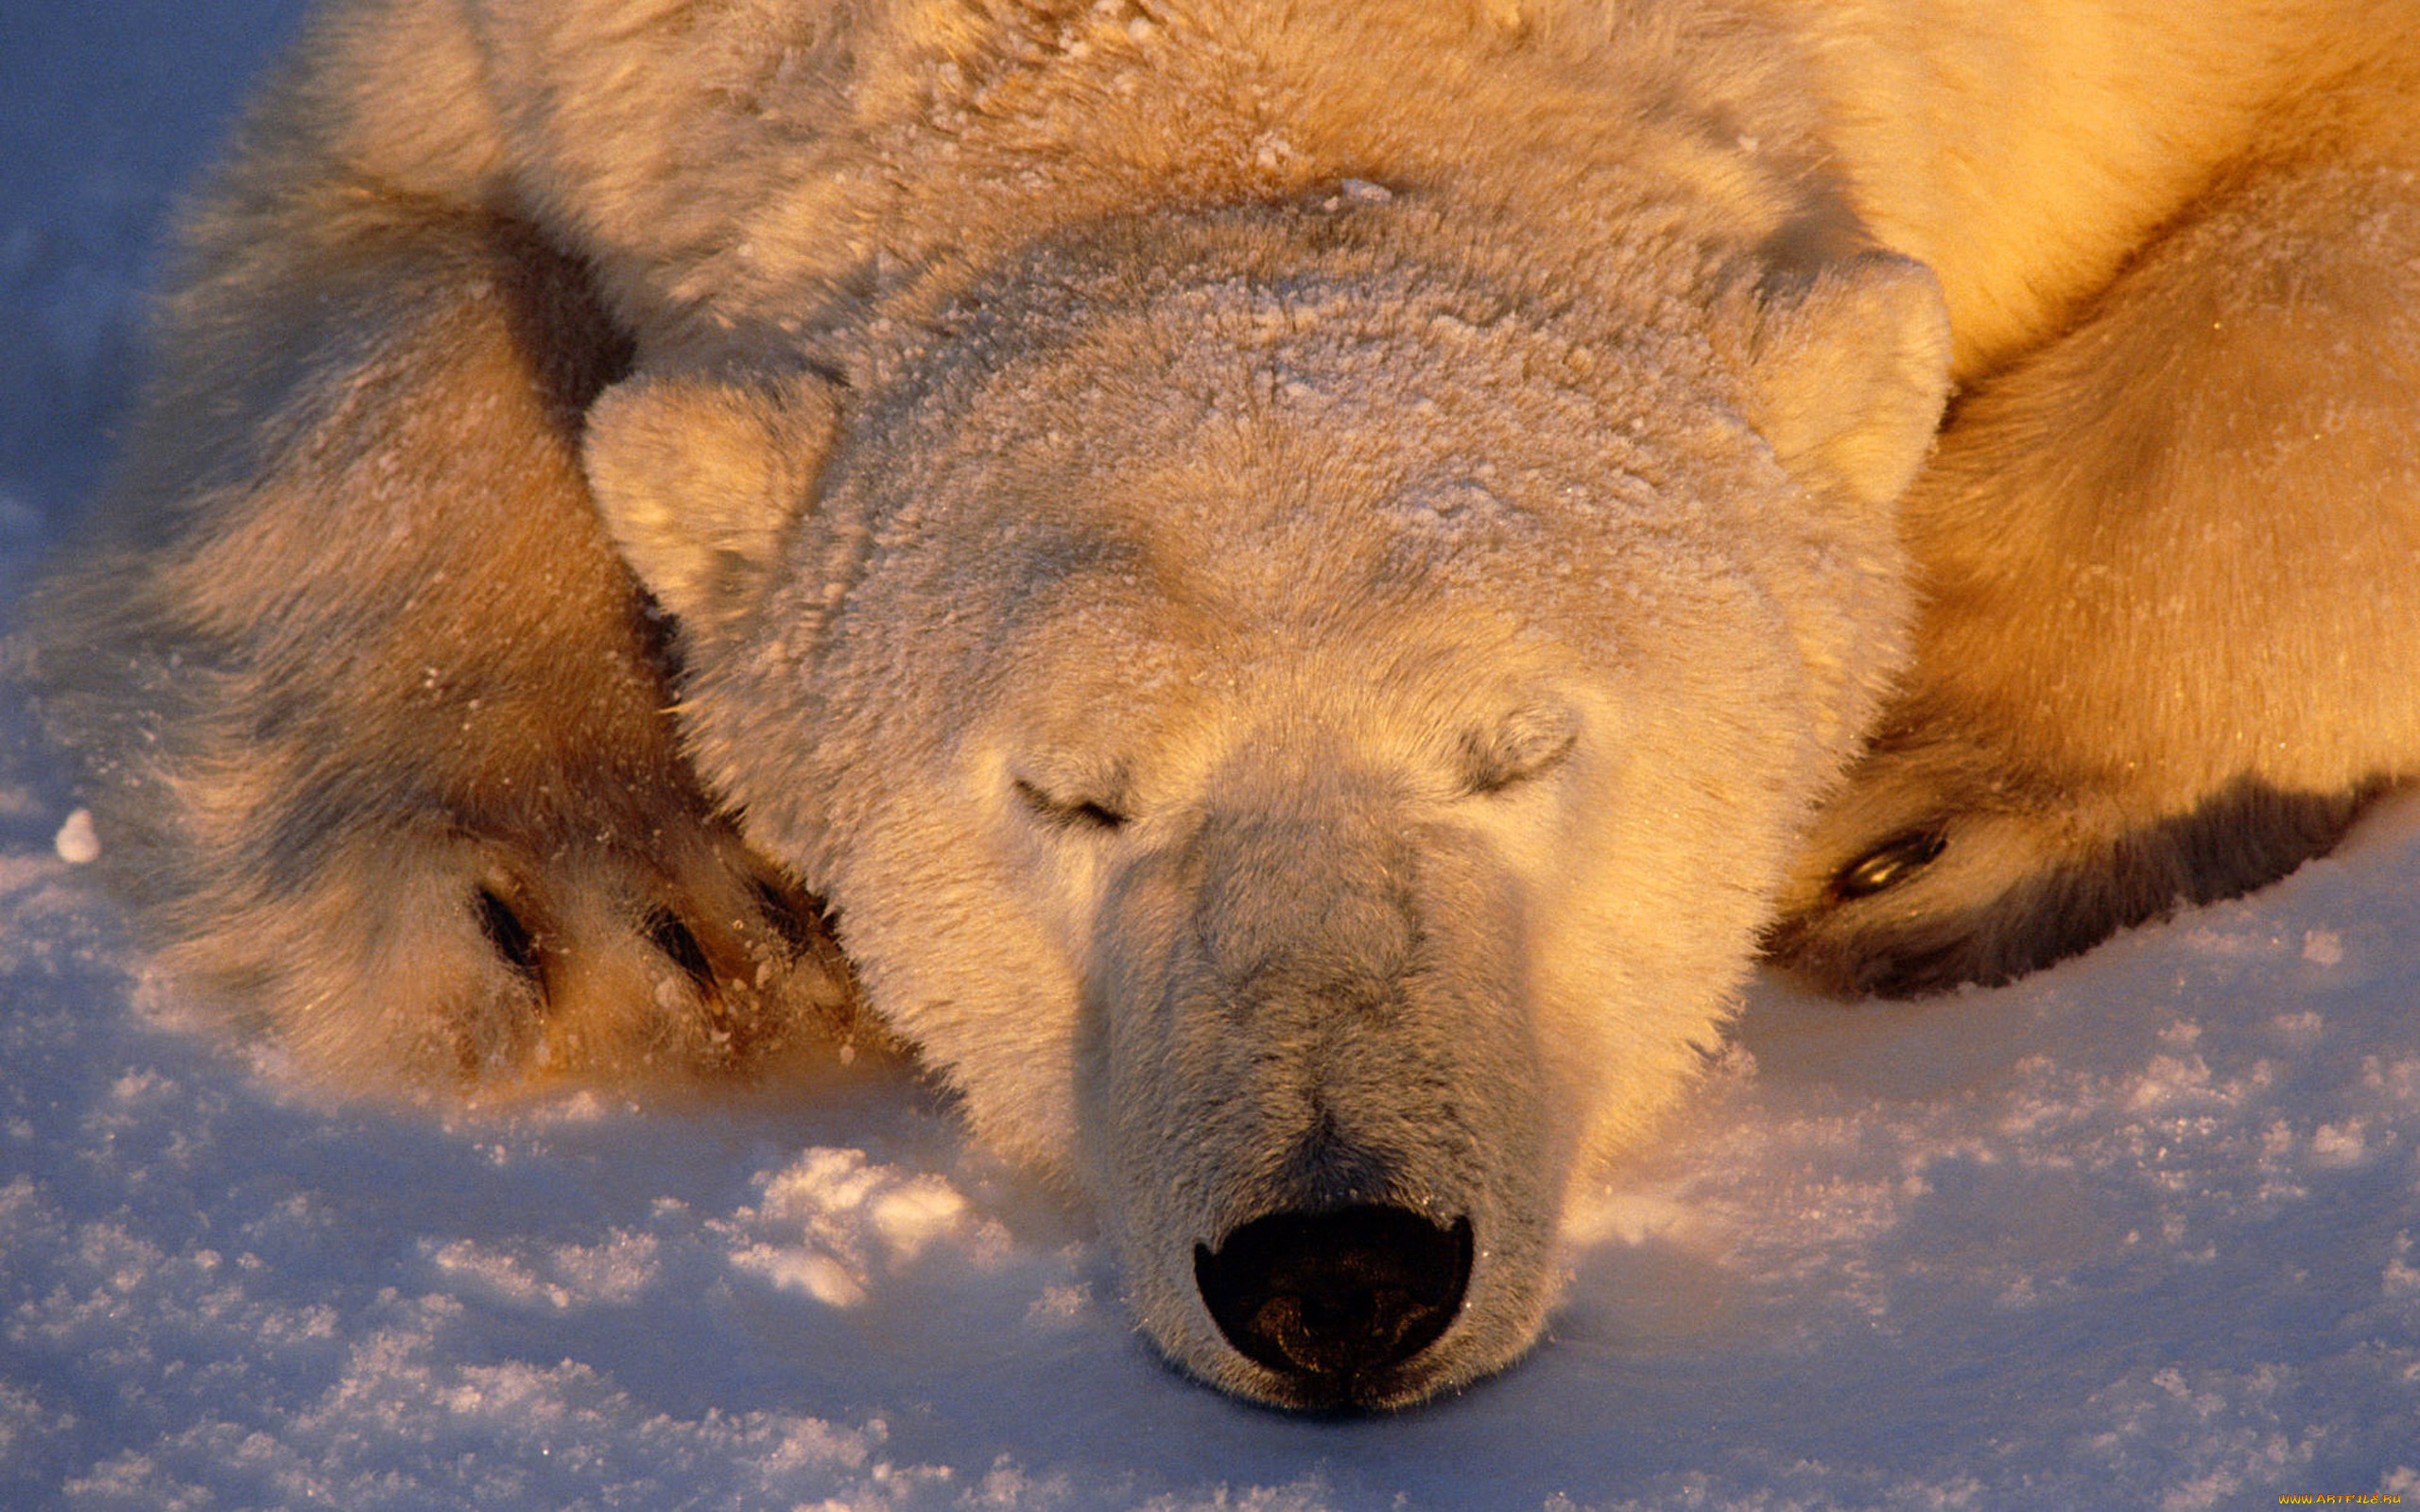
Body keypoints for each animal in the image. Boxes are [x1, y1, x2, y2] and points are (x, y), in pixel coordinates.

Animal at [33, 0, 2420, 1413]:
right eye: (1068, 795)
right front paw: (614, 917)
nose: (1336, 1263)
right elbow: (365, 265)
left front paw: (1925, 808)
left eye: (1518, 746)